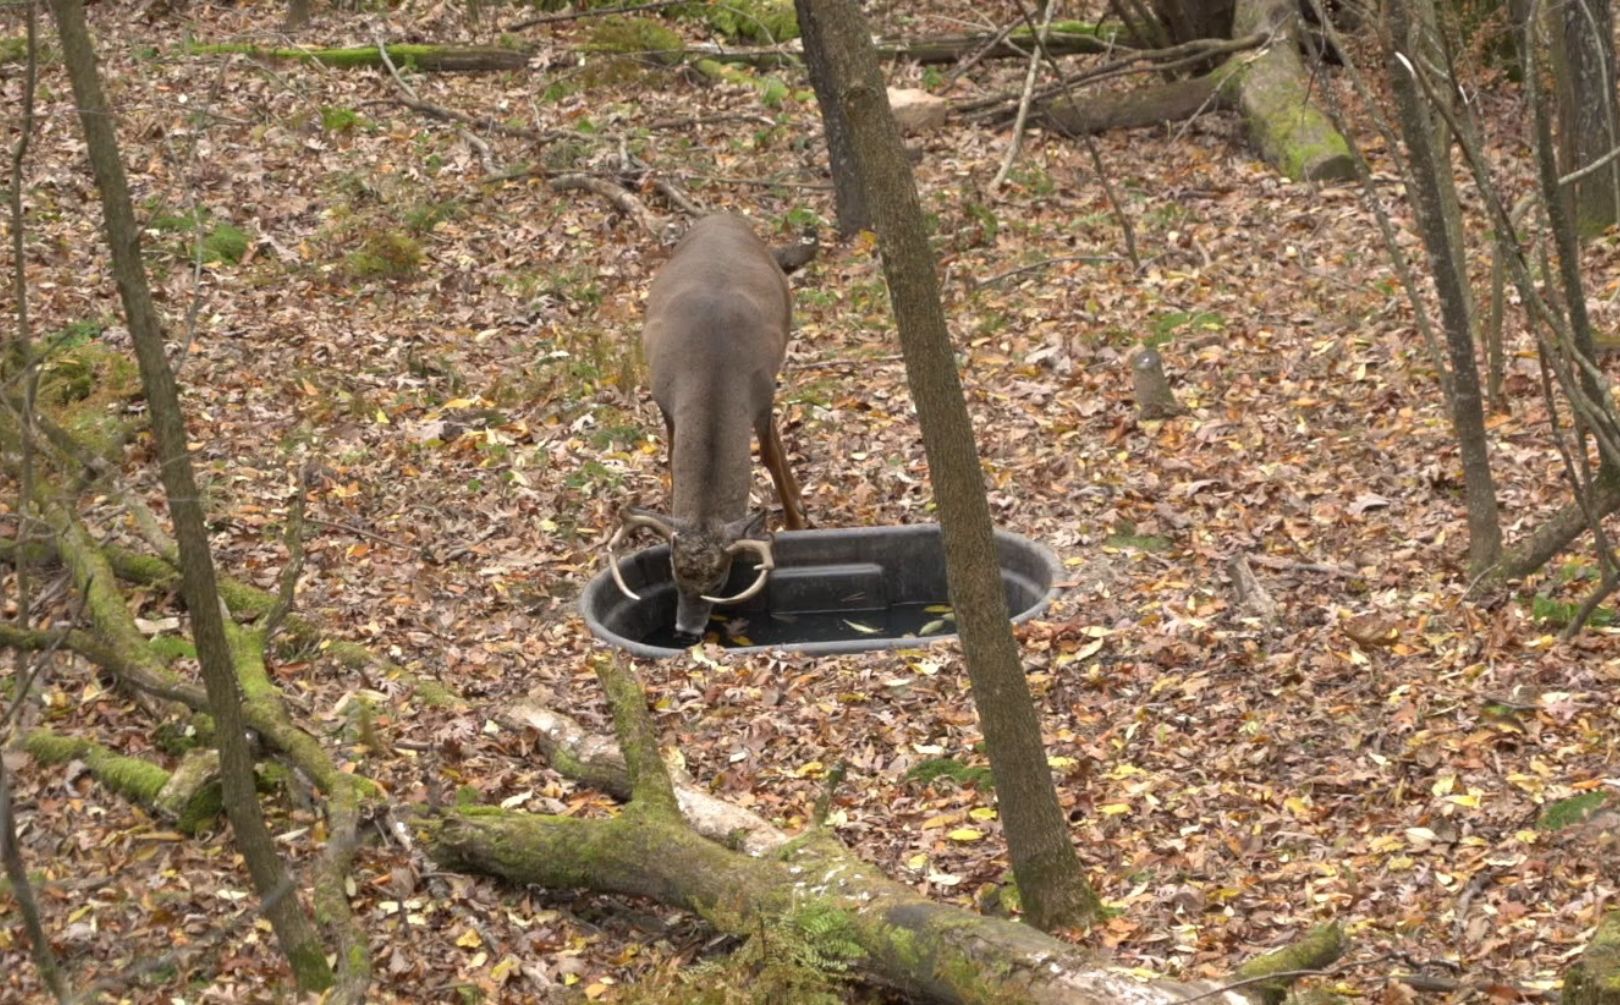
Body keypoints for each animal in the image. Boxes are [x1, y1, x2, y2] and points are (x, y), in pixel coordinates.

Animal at [605, 215, 806, 638]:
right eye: (675, 576)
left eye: (719, 580)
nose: (686, 631)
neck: (714, 370)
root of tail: (722, 215)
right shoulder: (666, 399)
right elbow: (671, 458)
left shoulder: (760, 394)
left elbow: (769, 455)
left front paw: (797, 523)